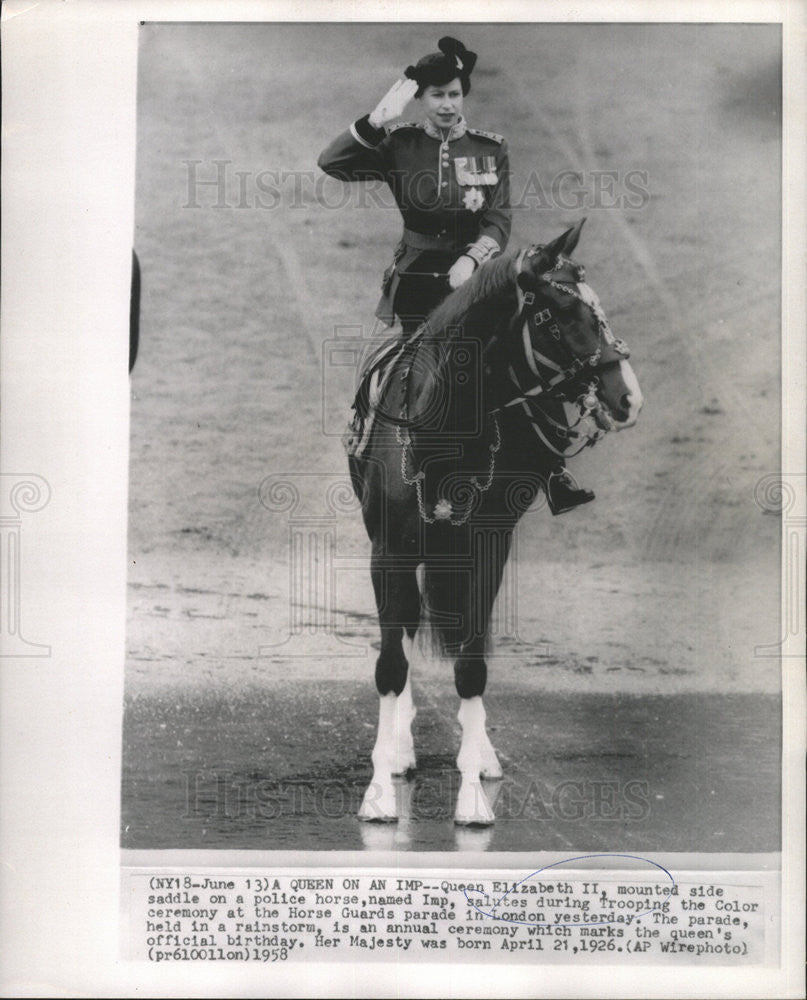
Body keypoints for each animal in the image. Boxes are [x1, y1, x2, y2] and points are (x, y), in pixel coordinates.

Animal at [348, 223, 644, 824]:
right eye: (558, 314)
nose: (628, 397)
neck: (446, 432)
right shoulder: (388, 552)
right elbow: (391, 665)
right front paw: (379, 790)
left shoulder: (487, 550)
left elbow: (472, 667)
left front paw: (471, 796)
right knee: (405, 636)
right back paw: (400, 748)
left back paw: (477, 755)